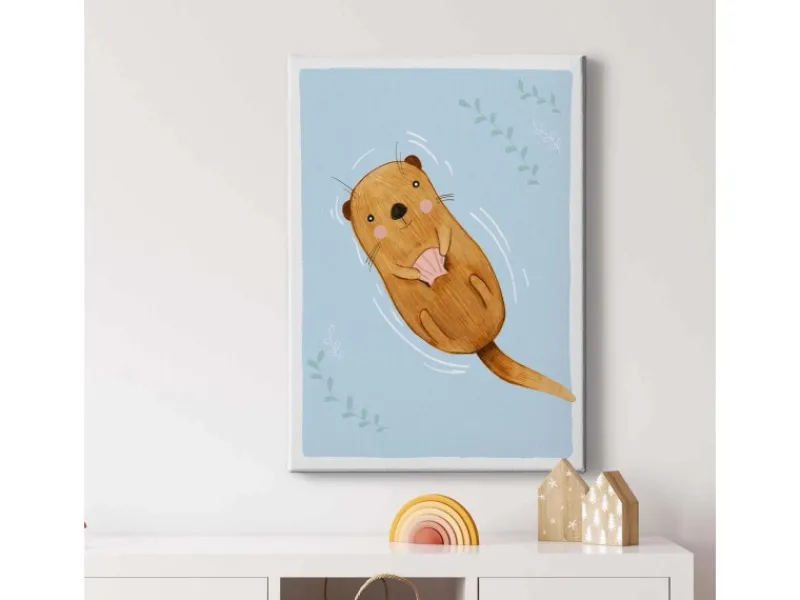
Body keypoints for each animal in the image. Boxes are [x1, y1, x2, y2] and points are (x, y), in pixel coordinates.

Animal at [342, 155, 574, 402]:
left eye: (415, 183)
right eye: (370, 217)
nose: (397, 209)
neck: (416, 244)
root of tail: (483, 343)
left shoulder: (446, 224)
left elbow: (446, 233)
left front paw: (442, 256)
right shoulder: (386, 261)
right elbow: (395, 268)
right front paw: (419, 274)